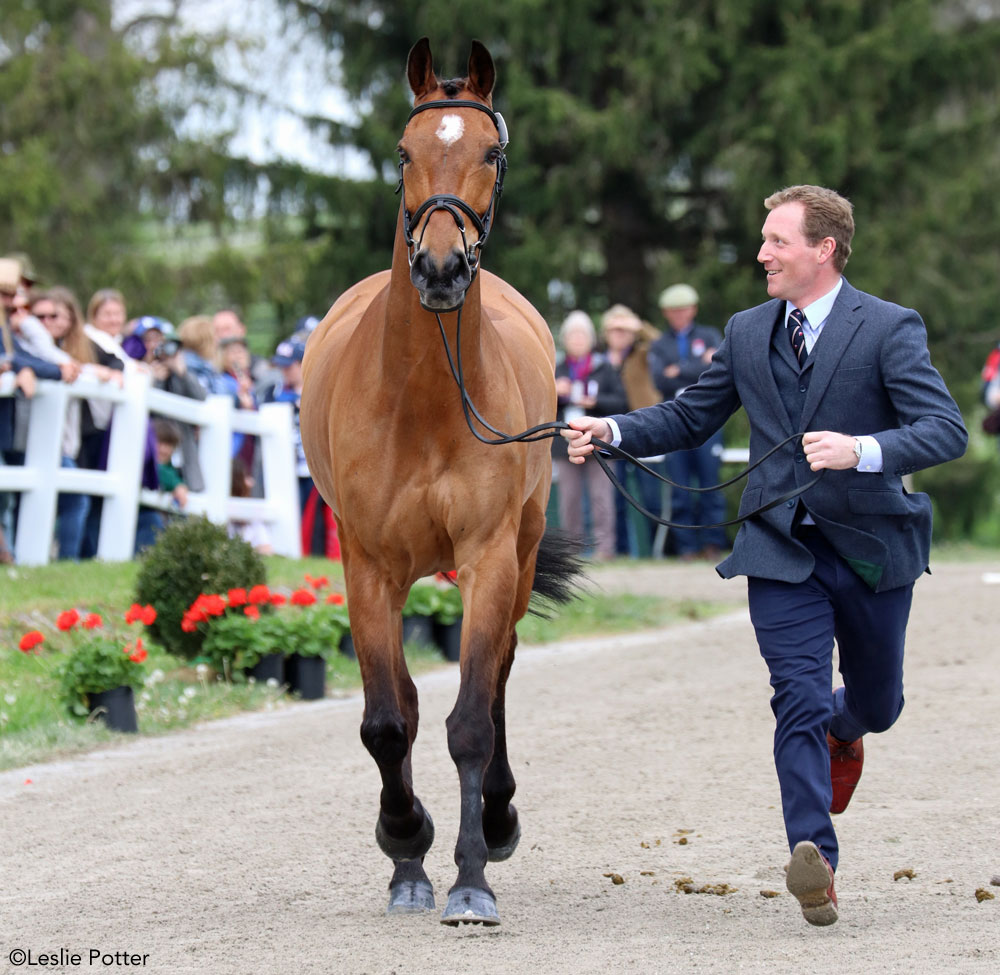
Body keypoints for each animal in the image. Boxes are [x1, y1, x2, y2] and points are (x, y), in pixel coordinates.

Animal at [296, 34, 580, 928]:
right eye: (403, 150)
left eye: (489, 151)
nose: (444, 268)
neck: (422, 398)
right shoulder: (368, 568)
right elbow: (391, 721)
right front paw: (406, 850)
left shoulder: (487, 556)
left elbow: (470, 720)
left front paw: (470, 874)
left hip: (520, 553)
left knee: (498, 679)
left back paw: (497, 815)